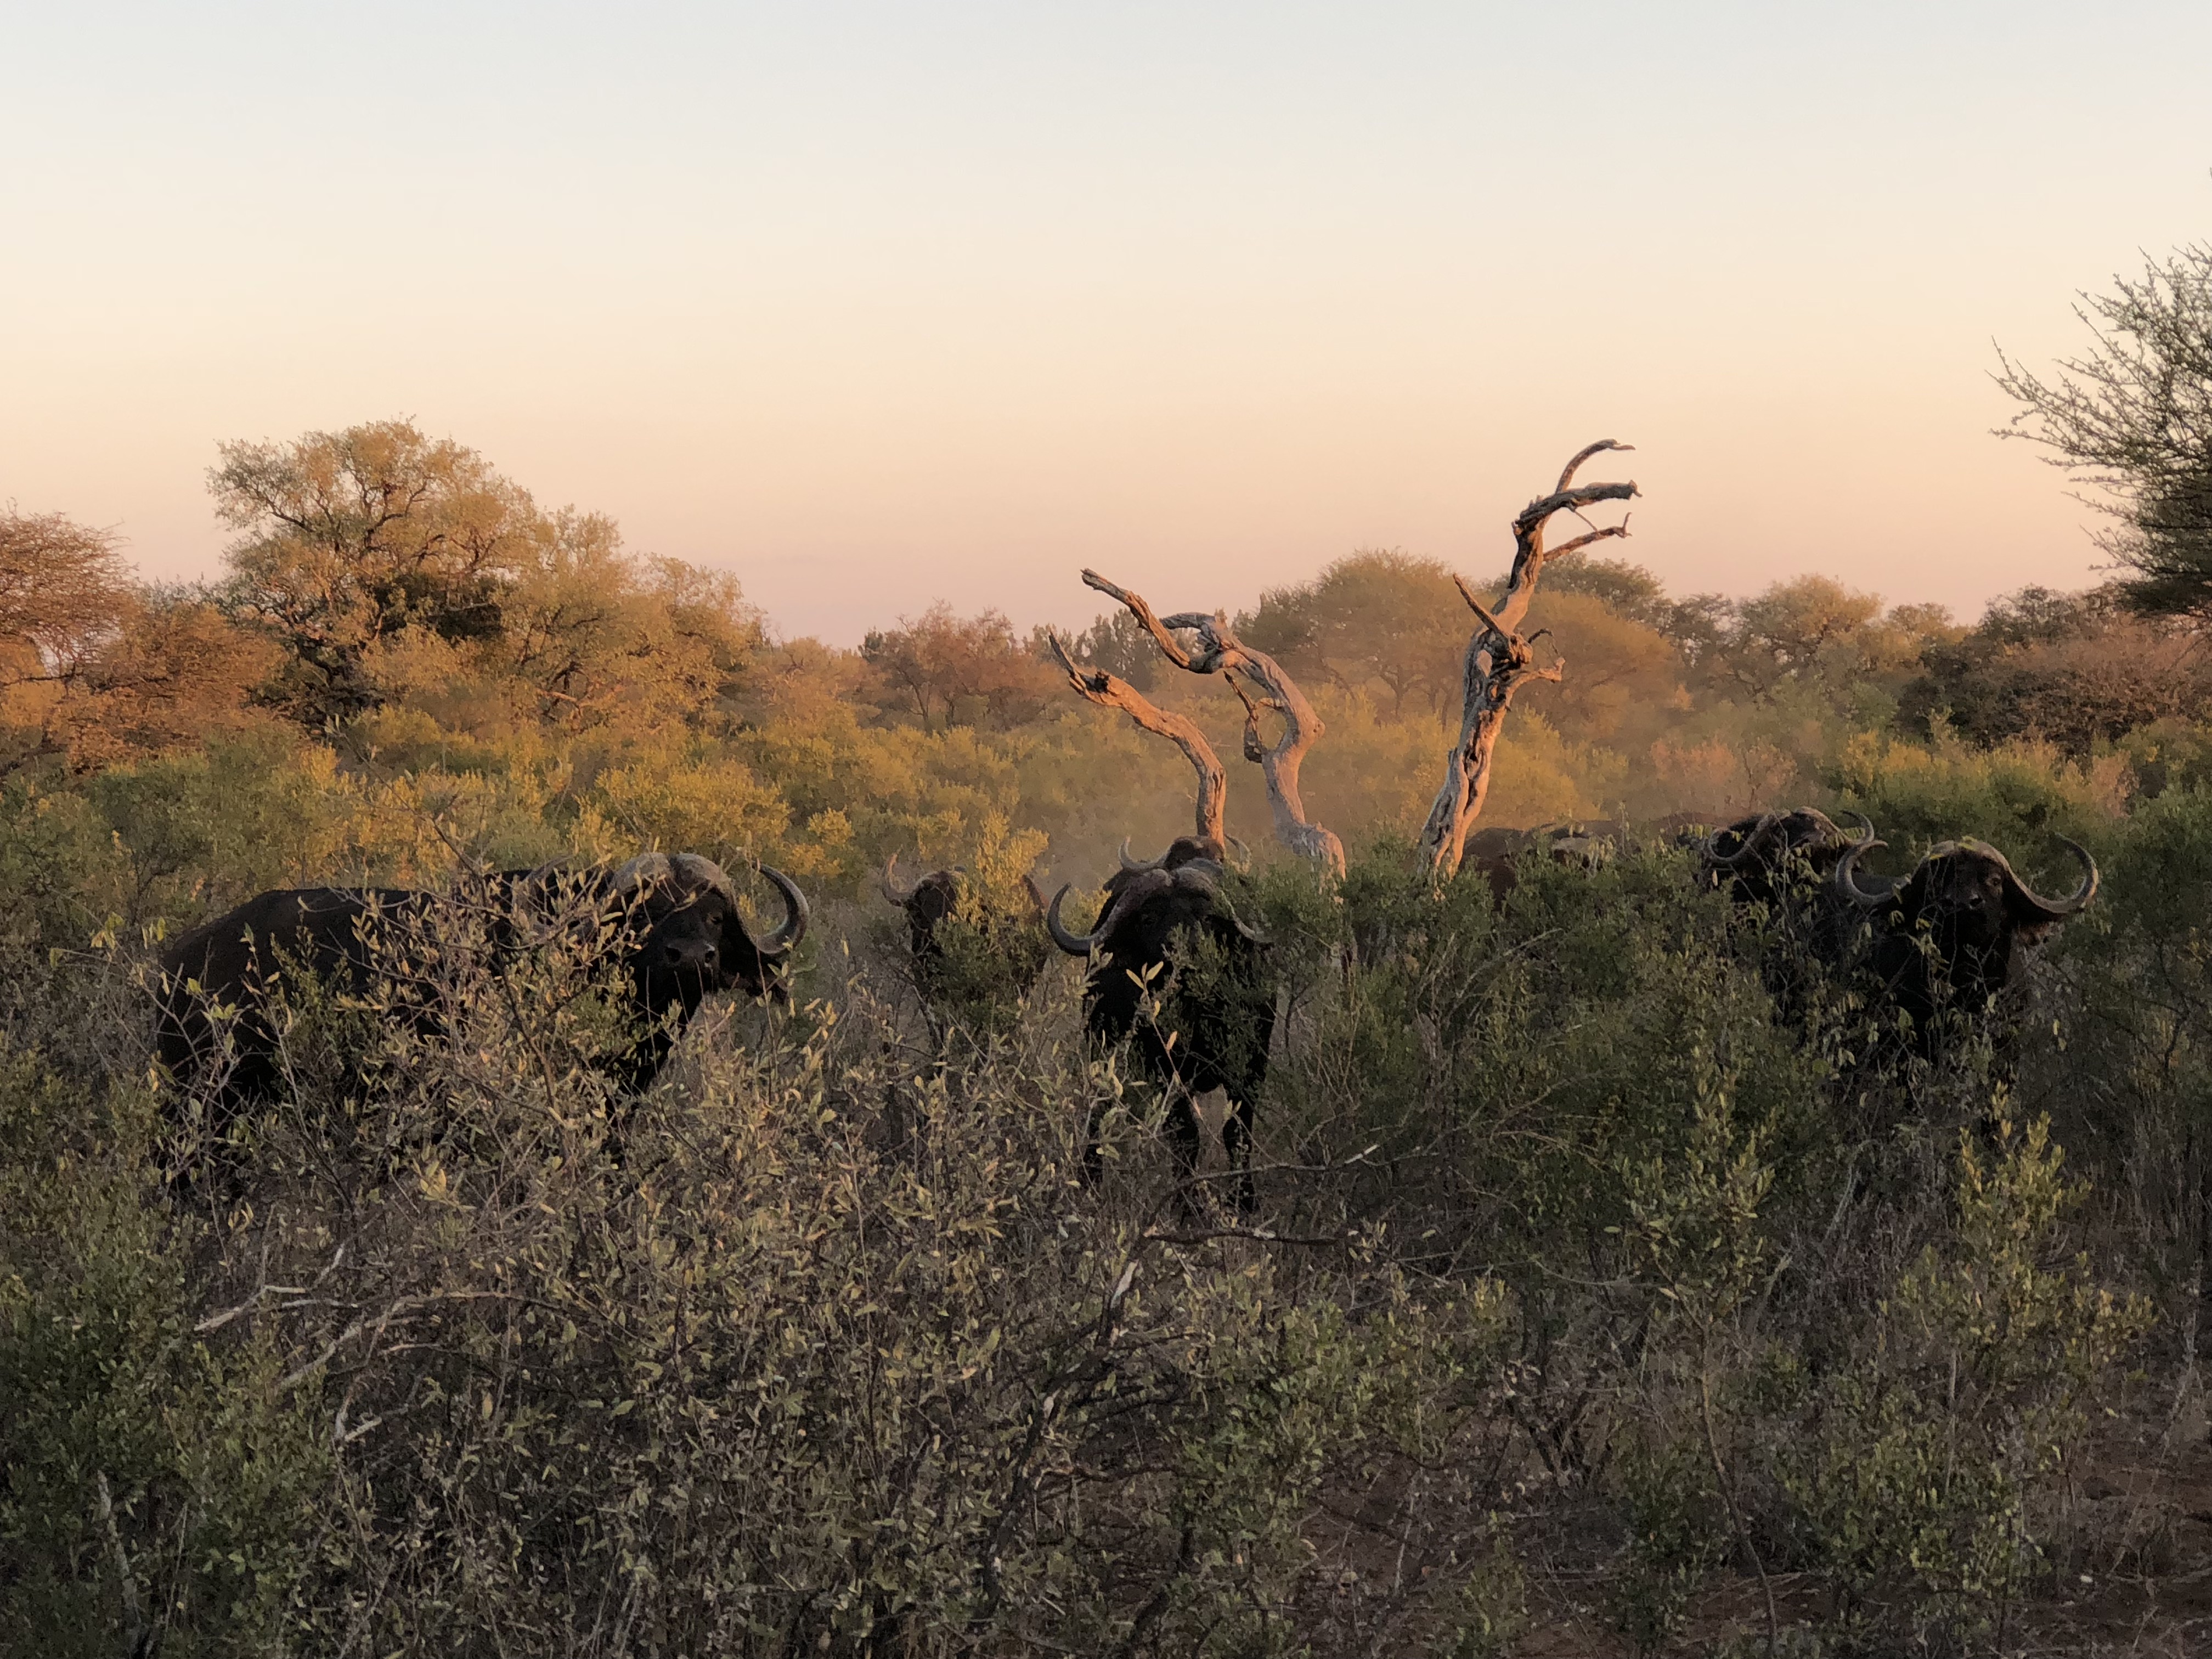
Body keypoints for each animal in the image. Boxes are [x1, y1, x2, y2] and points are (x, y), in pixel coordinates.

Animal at [1044, 849, 1274, 1212]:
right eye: (1148, 919)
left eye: (1206, 917)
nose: (1183, 955)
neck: (1196, 1014)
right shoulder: (1163, 1070)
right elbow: (1186, 1136)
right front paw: (1189, 1206)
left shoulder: (1252, 1064)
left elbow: (1238, 1133)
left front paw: (1244, 1199)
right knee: (1098, 1114)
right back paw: (1088, 1178)